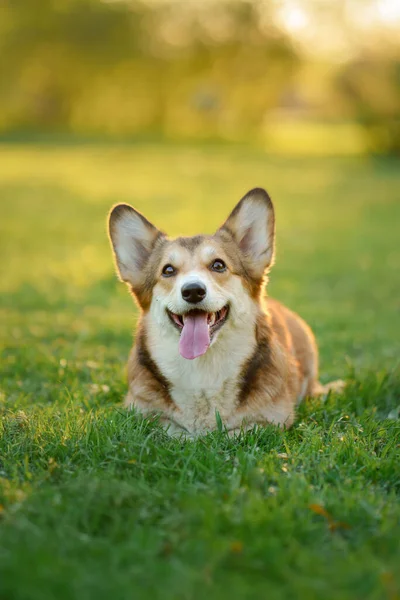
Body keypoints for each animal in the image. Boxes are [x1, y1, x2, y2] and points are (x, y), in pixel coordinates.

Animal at [107, 188, 344, 436]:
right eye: (168, 270)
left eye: (218, 265)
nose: (193, 291)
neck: (203, 369)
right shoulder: (139, 414)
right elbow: (172, 429)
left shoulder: (273, 420)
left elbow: (236, 432)